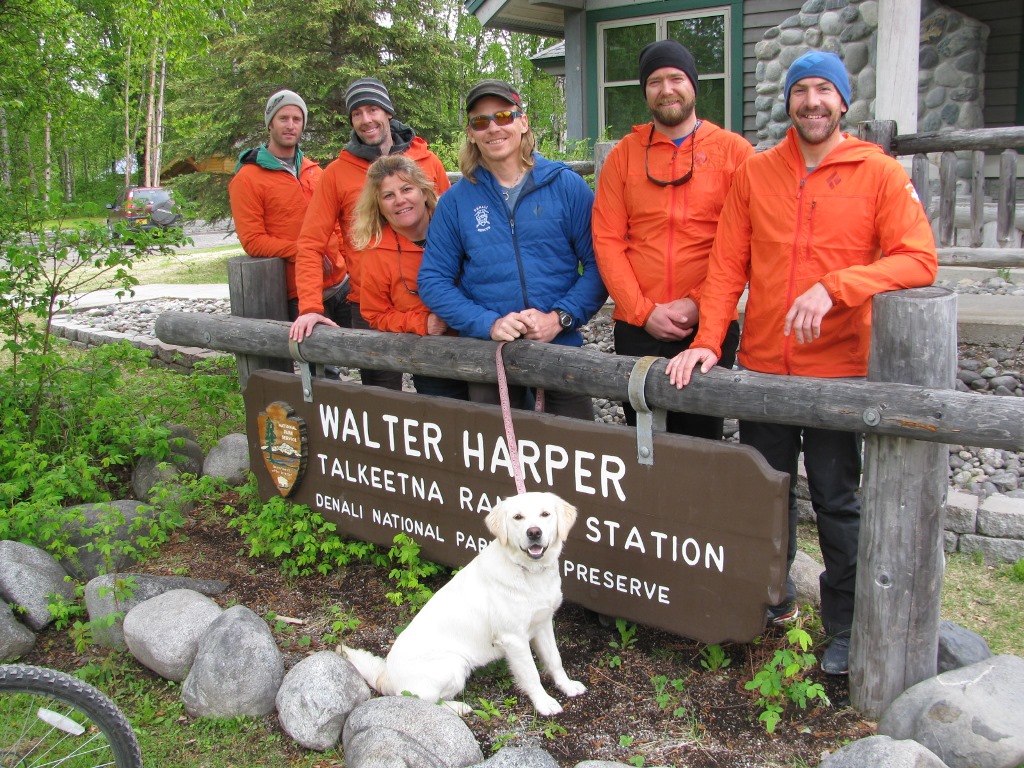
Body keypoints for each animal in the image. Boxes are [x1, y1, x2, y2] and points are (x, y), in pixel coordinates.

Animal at [342, 493, 585, 716]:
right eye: (518, 517)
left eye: (545, 514)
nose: (534, 532)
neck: (530, 572)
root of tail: (388, 676)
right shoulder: (513, 639)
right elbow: (532, 674)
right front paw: (544, 703)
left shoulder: (543, 623)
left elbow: (555, 660)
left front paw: (567, 686)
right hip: (453, 665)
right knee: (420, 699)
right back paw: (459, 707)